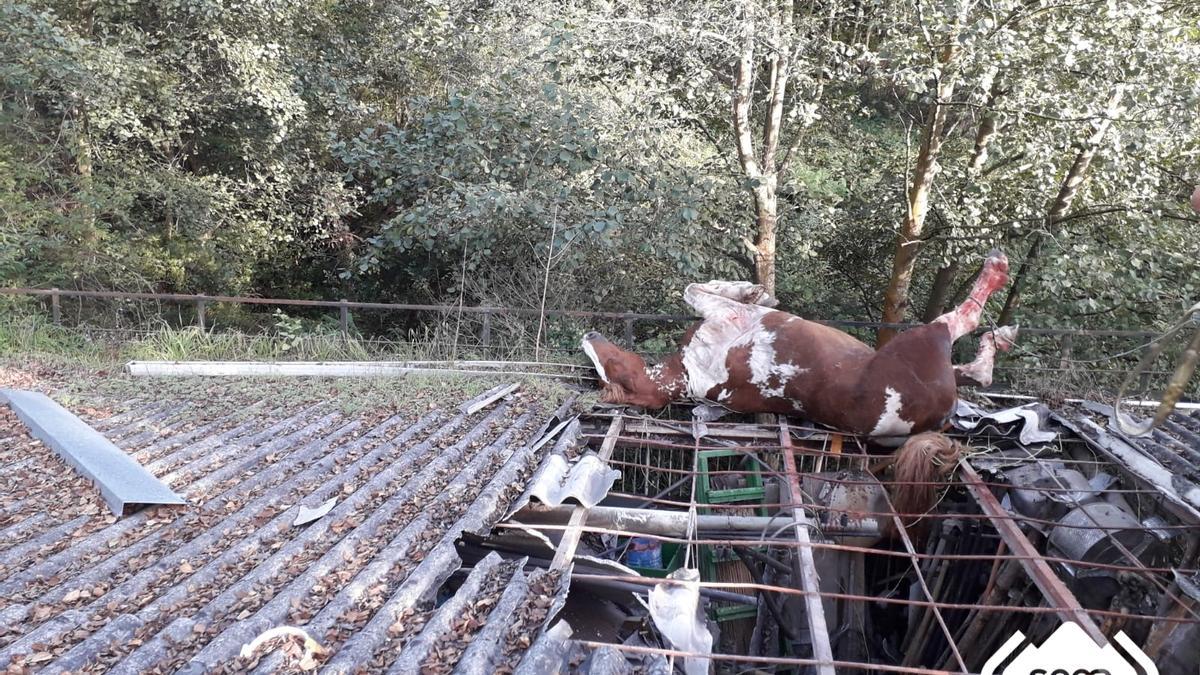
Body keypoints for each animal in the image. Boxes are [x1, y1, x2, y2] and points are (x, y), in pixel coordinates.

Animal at [576, 248, 1017, 437]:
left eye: (606, 365)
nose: (588, 334)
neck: (686, 375)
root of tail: (936, 417)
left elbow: (699, 290)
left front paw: (756, 291)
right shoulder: (722, 318)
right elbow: (695, 291)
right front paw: (752, 290)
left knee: (978, 371)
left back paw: (1001, 336)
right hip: (926, 338)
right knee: (965, 323)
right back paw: (996, 269)